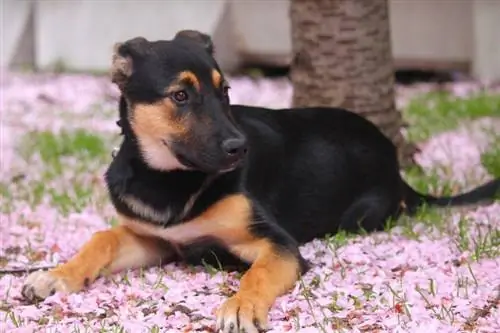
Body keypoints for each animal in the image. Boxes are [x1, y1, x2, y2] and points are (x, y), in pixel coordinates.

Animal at [22, 29, 500, 330]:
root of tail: (399, 173)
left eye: (225, 92)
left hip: (362, 217)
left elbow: (257, 274)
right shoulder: (154, 239)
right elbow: (102, 238)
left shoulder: (275, 243)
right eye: (181, 95)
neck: (172, 179)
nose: (240, 148)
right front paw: (56, 276)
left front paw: (241, 306)